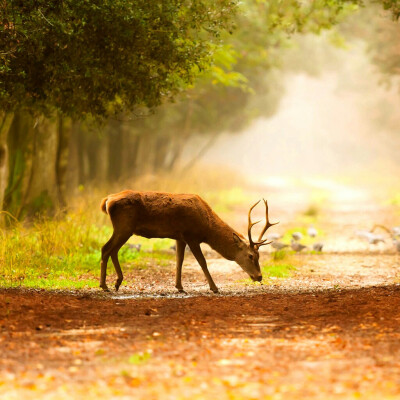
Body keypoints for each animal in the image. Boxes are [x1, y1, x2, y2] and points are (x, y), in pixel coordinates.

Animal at [99, 191, 278, 294]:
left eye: (259, 256)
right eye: (251, 256)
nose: (259, 276)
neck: (206, 227)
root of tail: (107, 200)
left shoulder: (180, 237)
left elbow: (179, 260)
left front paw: (179, 287)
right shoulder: (191, 236)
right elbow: (202, 262)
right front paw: (214, 288)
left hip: (124, 228)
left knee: (112, 250)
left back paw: (116, 283)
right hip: (124, 226)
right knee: (106, 248)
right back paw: (105, 285)